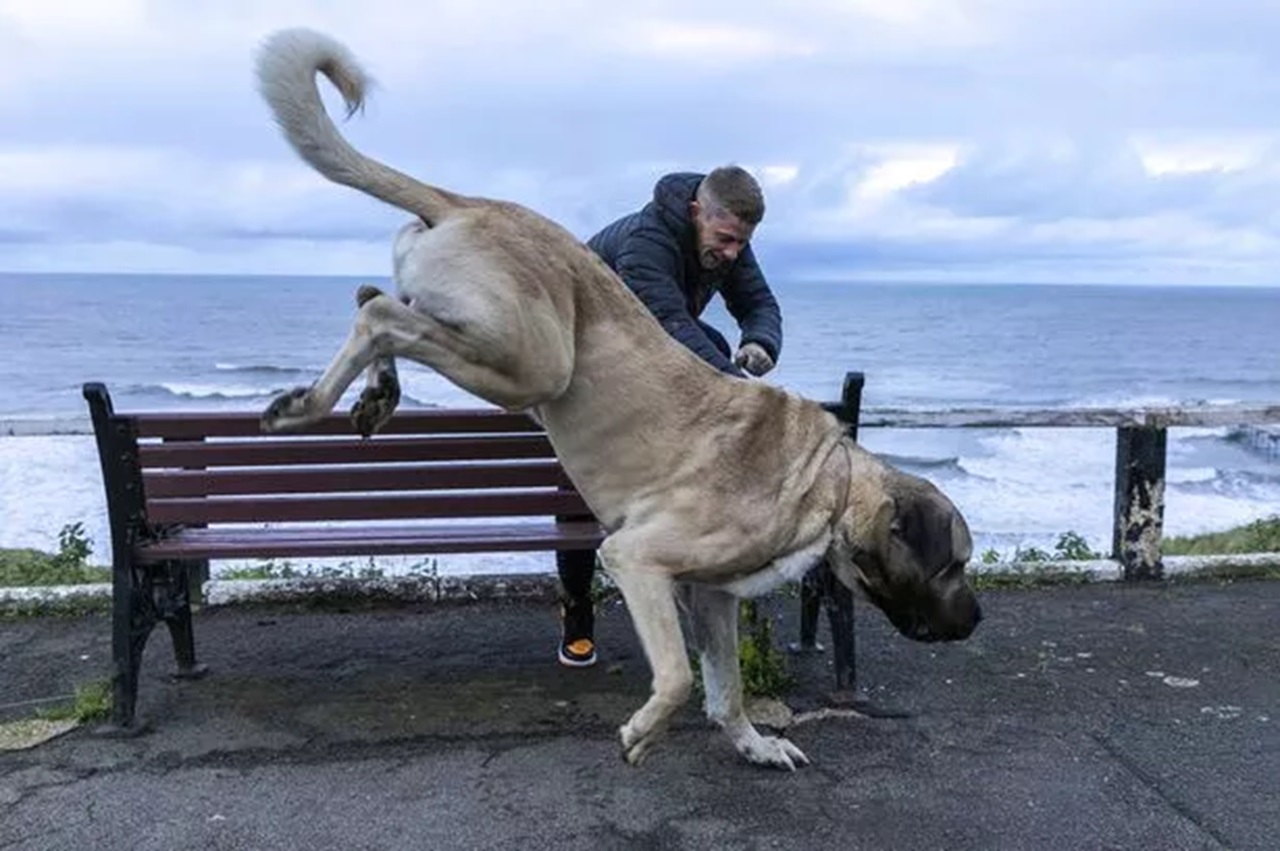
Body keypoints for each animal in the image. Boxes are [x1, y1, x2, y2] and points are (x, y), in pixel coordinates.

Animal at [254, 26, 983, 767]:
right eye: (954, 562)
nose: (976, 619)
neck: (827, 481)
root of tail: (469, 202)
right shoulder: (638, 559)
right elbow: (681, 675)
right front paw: (646, 729)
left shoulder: (710, 596)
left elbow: (726, 688)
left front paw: (754, 743)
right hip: (533, 359)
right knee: (379, 315)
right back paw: (310, 404)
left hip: (483, 331)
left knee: (374, 297)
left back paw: (377, 393)